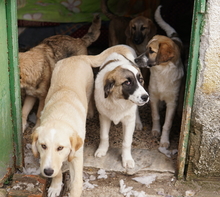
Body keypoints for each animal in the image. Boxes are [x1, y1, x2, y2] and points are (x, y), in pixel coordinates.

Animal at [31, 45, 144, 197]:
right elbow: (57, 169)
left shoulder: (77, 156)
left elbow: (76, 182)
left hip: (90, 88)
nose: (47, 172)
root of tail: (77, 57)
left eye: (60, 148)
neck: (59, 115)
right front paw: (55, 186)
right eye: (43, 146)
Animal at [134, 5, 184, 151]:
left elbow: (167, 124)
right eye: (145, 48)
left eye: (151, 51)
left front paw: (164, 141)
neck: (162, 72)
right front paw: (156, 131)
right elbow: (155, 116)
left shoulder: (172, 102)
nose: (135, 59)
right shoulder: (153, 96)